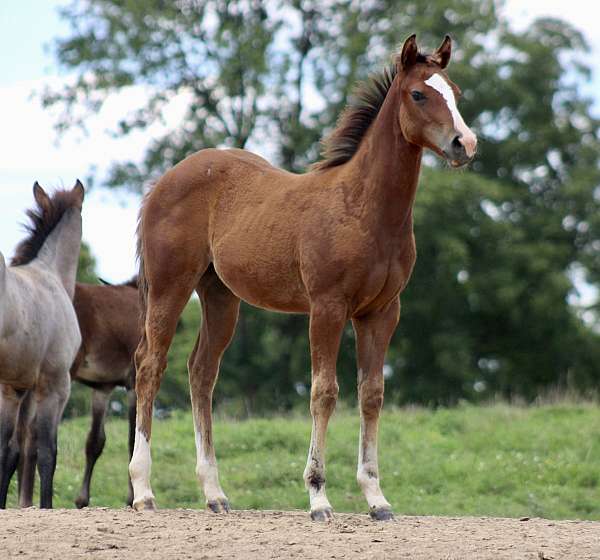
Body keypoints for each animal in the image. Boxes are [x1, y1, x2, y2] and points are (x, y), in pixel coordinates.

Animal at [0, 182, 84, 510]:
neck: (51, 275)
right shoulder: (55, 388)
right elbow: (47, 451)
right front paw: (46, 505)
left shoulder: (14, 389)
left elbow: (9, 450)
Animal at [131, 36, 478, 520]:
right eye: (418, 94)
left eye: (456, 93)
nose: (465, 143)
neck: (364, 208)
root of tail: (162, 182)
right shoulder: (327, 307)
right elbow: (324, 392)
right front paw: (318, 496)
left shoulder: (382, 312)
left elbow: (372, 393)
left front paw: (377, 498)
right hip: (170, 285)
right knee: (150, 364)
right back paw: (143, 491)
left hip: (220, 295)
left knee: (201, 372)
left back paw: (215, 493)